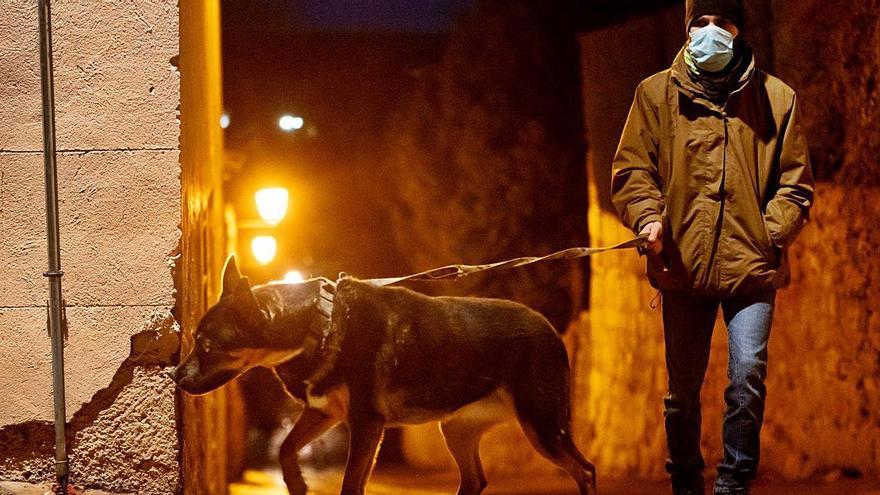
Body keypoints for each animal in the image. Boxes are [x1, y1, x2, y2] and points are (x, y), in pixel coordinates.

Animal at [170, 258, 600, 495]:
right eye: (193, 341)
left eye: (205, 346)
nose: (174, 375)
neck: (319, 323)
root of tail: (551, 331)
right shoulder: (325, 413)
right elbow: (285, 449)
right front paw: (297, 484)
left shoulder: (366, 423)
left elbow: (349, 484)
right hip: (457, 429)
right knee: (475, 480)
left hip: (542, 424)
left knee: (585, 470)